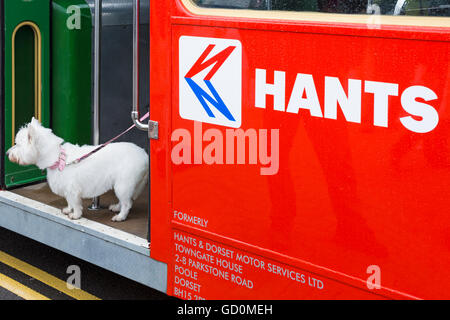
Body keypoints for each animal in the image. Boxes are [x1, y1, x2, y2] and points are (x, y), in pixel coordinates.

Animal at [7, 116, 149, 221]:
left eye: (17, 144)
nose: (7, 153)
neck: (57, 158)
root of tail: (144, 155)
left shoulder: (72, 189)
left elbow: (75, 203)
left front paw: (75, 215)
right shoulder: (67, 190)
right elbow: (69, 202)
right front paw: (68, 209)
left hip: (123, 183)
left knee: (127, 203)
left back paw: (120, 216)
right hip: (122, 185)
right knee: (125, 200)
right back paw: (116, 207)